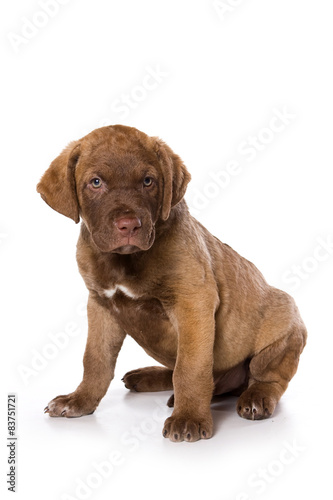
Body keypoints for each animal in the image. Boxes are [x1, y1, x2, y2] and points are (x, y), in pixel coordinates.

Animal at [37, 125, 306, 442]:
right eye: (96, 182)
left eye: (148, 181)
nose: (129, 225)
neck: (124, 262)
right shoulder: (100, 305)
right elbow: (95, 360)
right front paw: (80, 400)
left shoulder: (192, 303)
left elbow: (190, 367)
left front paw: (189, 418)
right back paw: (149, 377)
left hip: (284, 320)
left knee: (268, 377)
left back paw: (255, 397)